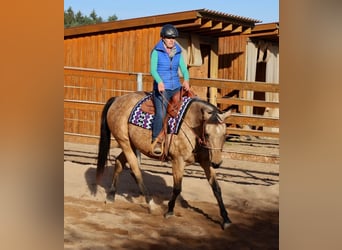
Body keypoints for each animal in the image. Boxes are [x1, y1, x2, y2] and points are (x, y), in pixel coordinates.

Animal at [96, 91, 232, 229]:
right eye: (207, 134)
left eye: (225, 134)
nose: (217, 163)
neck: (192, 124)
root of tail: (117, 99)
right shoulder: (178, 161)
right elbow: (177, 188)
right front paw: (170, 211)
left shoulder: (206, 162)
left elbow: (216, 189)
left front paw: (226, 219)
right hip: (124, 142)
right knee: (136, 171)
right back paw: (151, 205)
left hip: (132, 144)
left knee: (119, 162)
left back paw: (111, 195)